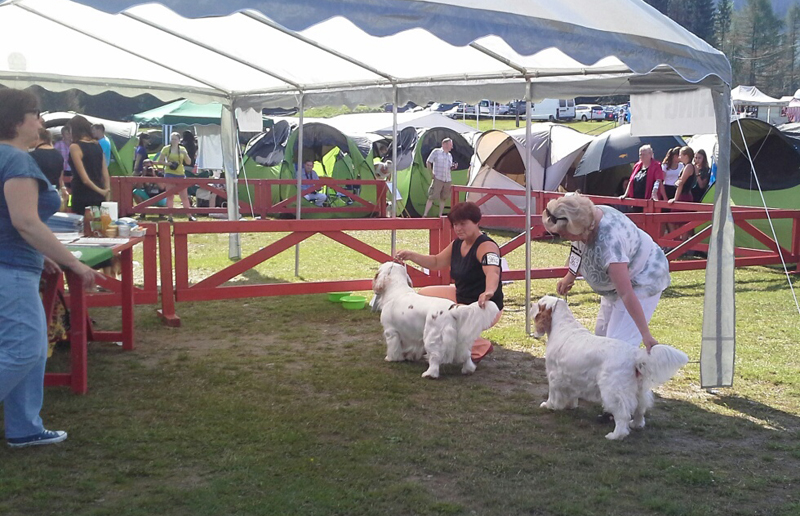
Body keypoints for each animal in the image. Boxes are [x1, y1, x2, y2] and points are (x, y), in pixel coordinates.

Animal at [532, 294, 688, 440]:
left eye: (539, 304)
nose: (531, 305)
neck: (562, 326)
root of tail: (634, 354)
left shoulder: (554, 375)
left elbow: (553, 395)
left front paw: (549, 405)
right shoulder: (571, 378)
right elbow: (571, 394)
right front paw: (570, 405)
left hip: (613, 391)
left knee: (622, 414)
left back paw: (615, 435)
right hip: (639, 389)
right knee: (640, 408)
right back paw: (636, 425)